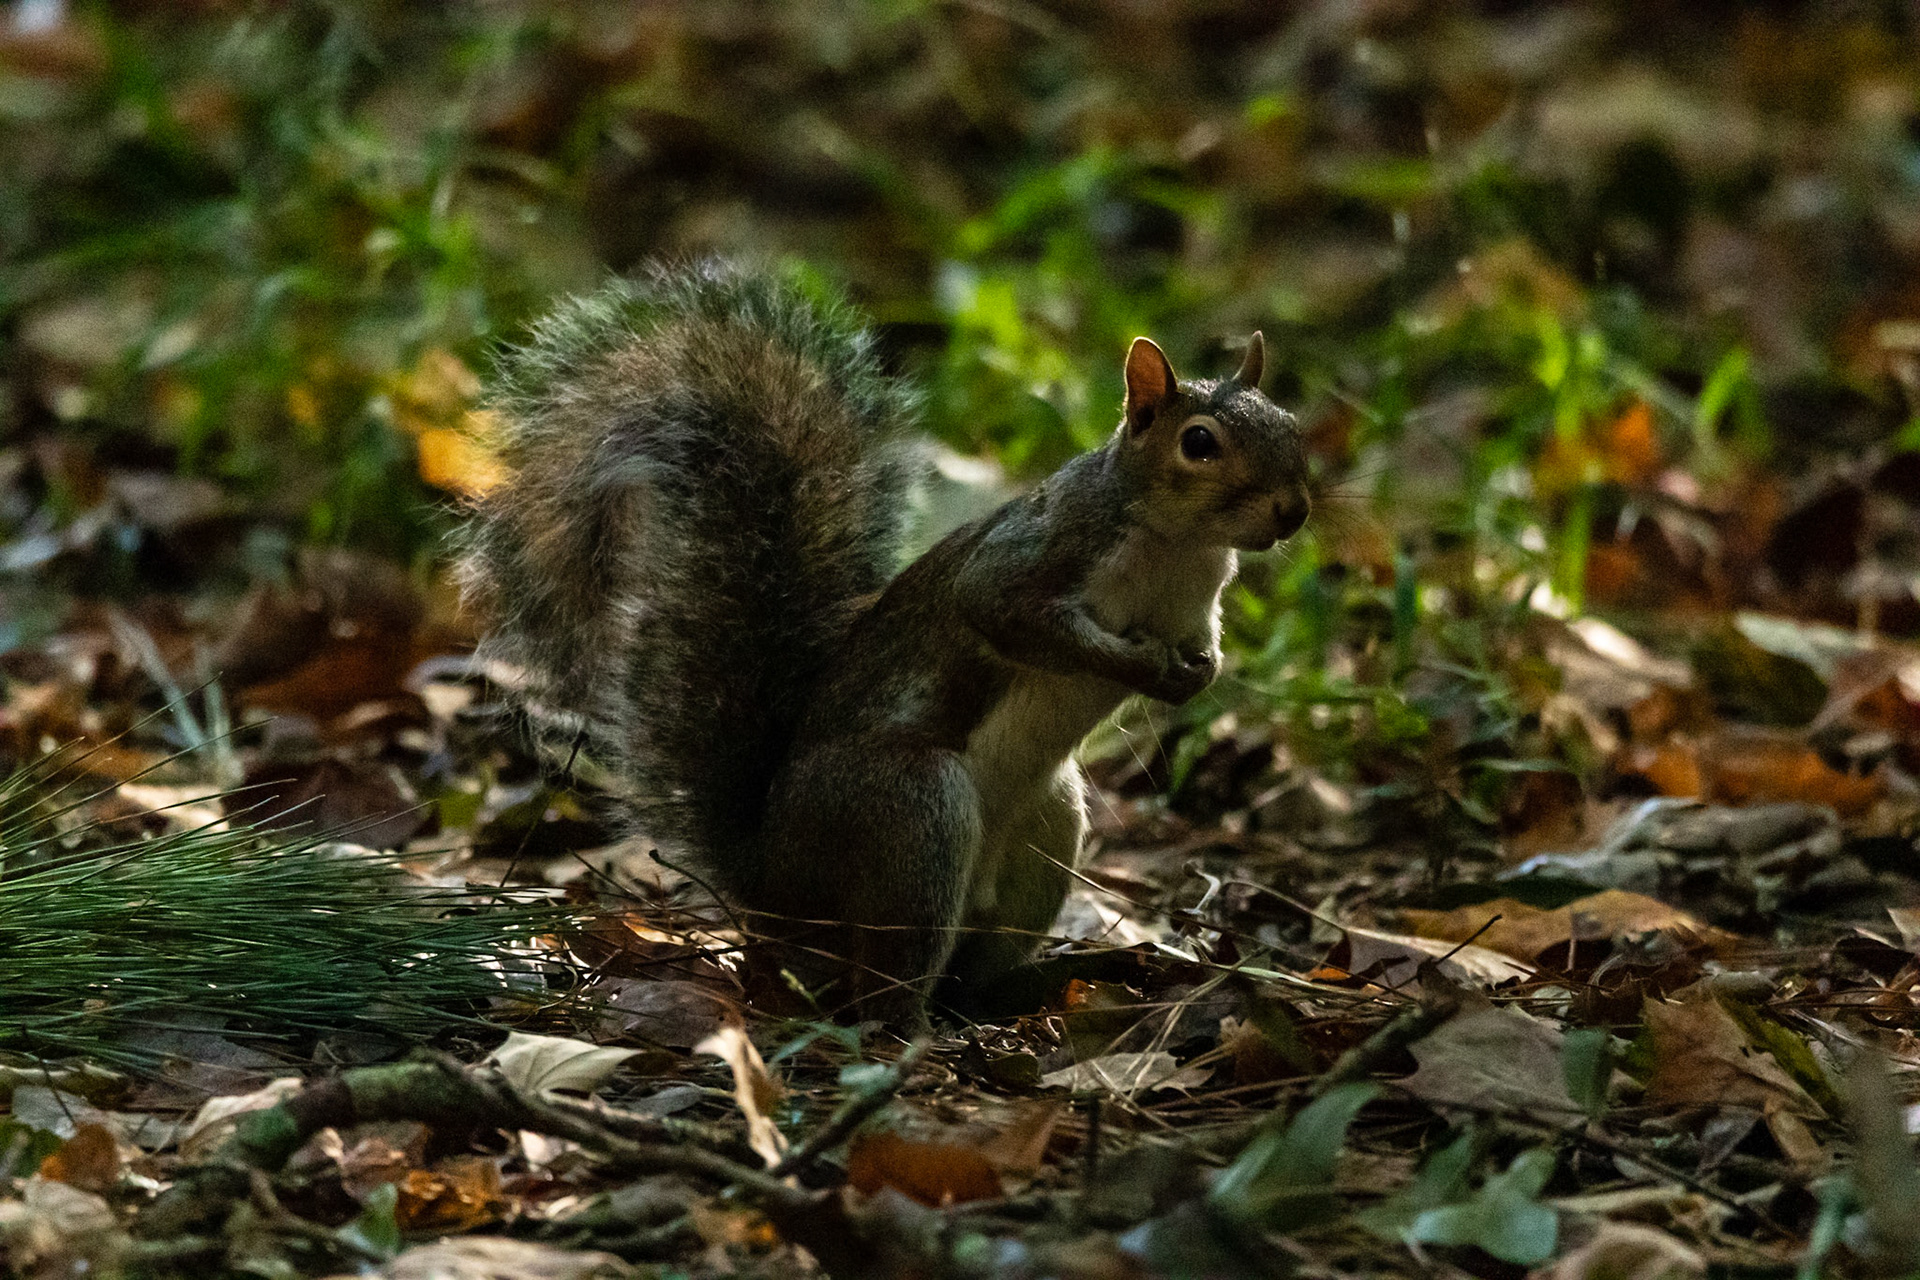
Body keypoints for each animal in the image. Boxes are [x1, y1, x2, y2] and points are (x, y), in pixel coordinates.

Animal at [458, 261, 1309, 1024]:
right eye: (1199, 442)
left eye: (1291, 425)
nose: (1294, 510)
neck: (1182, 545)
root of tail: (780, 894)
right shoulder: (1036, 555)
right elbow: (1006, 611)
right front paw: (1141, 667)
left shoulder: (1198, 608)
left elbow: (1206, 647)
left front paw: (1199, 675)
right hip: (914, 814)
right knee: (882, 986)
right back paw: (911, 1029)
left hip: (1046, 824)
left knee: (973, 972)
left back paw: (1041, 985)